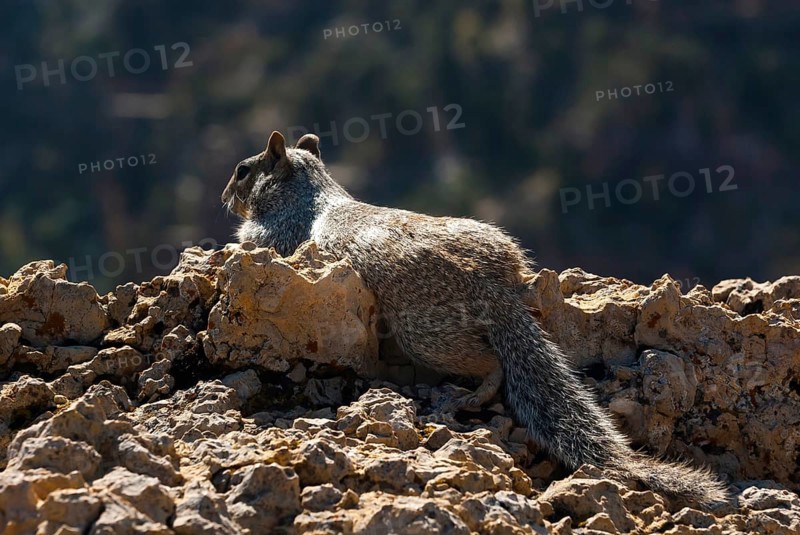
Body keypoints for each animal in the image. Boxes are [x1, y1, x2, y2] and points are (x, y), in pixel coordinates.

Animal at [221, 131, 729, 509]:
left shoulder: (272, 234)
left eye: (242, 170)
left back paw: (465, 397)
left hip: (424, 334)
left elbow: (254, 242)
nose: (226, 197)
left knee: (492, 364)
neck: (311, 190)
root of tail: (492, 288)